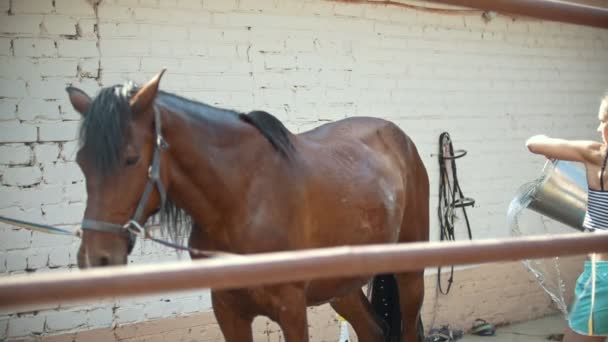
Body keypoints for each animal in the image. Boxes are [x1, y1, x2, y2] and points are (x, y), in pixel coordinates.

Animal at [71, 70, 430, 342]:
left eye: (131, 159)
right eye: (81, 161)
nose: (96, 258)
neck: (242, 200)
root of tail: (401, 139)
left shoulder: (291, 309)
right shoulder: (228, 311)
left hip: (410, 275)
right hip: (342, 286)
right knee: (372, 330)